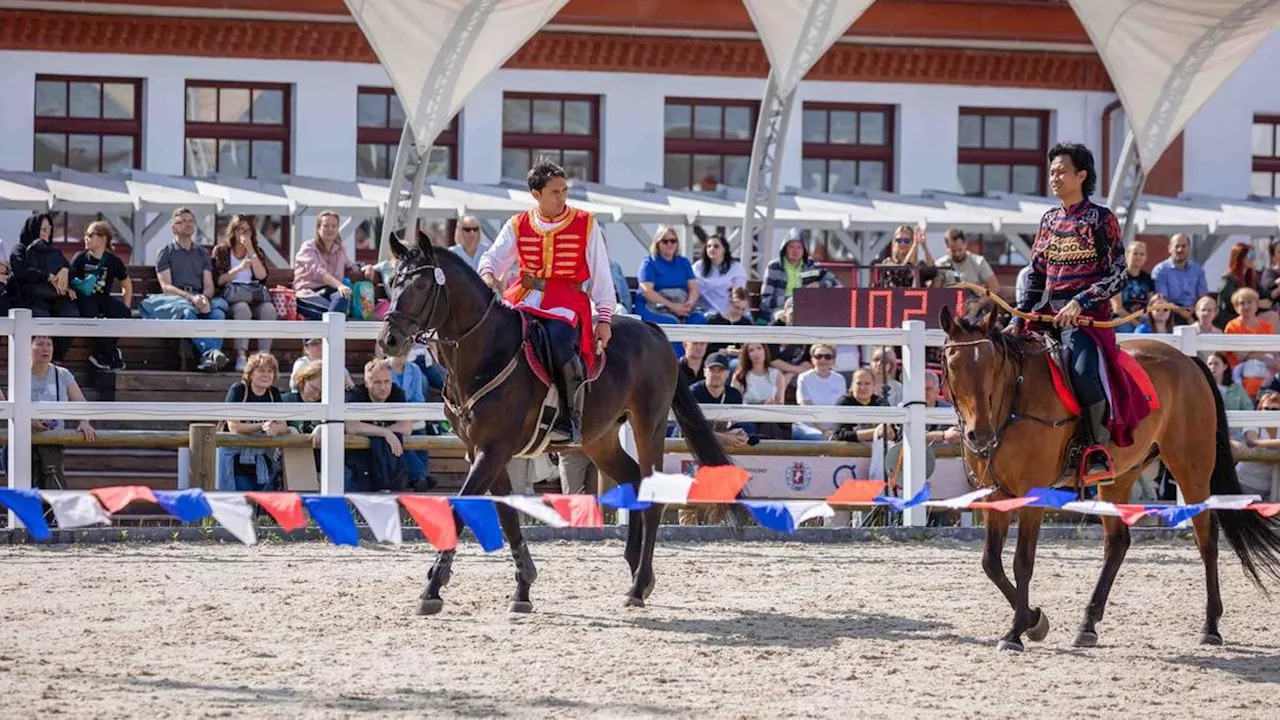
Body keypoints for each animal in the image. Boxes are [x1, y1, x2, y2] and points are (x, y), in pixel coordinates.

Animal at [373, 229, 727, 609]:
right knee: (632, 480)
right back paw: (637, 573)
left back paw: (638, 583)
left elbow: (464, 507)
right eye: (392, 283)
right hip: (599, 439)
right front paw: (523, 586)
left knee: (650, 493)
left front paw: (434, 585)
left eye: (422, 285)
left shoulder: (493, 450)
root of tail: (652, 330)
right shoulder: (482, 451)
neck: (486, 350)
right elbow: (508, 515)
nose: (389, 339)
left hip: (650, 425)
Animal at [936, 302, 1280, 650]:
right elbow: (991, 562)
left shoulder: (1033, 493)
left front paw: (1016, 631)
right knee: (1117, 543)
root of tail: (1188, 361)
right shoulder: (995, 493)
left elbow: (1022, 561)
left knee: (1206, 539)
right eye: (953, 365)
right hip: (1121, 477)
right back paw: (1088, 624)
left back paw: (1210, 626)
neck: (1013, 402)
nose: (978, 434)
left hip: (1192, 470)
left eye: (992, 365)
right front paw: (1034, 620)